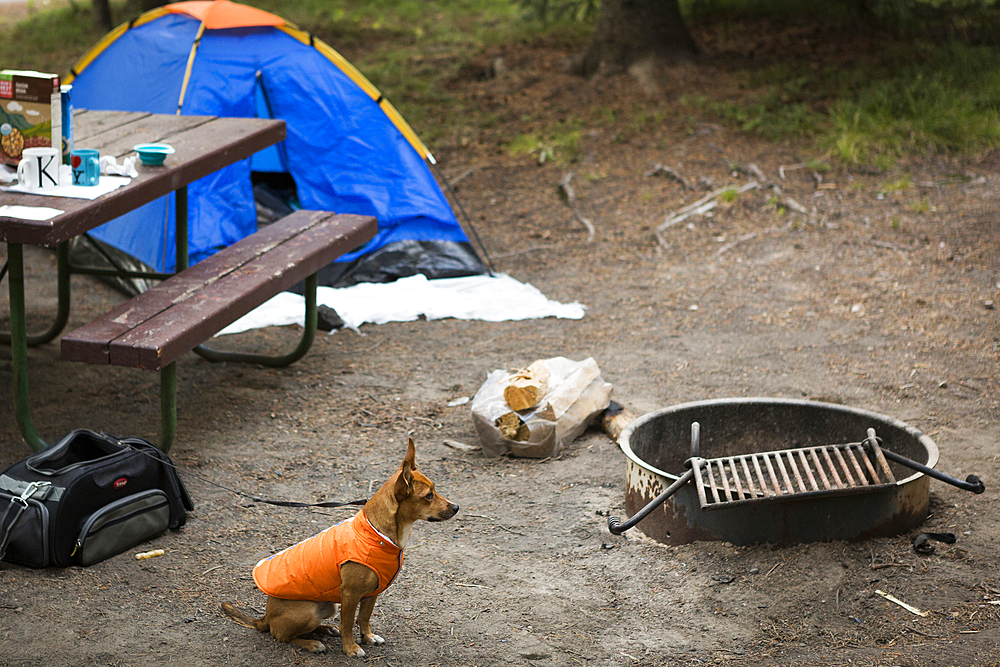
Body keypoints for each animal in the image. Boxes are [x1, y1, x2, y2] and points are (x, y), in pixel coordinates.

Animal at [221, 438, 458, 656]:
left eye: (435, 491)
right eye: (429, 496)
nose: (456, 507)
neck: (376, 533)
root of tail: (265, 617)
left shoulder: (372, 593)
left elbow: (364, 618)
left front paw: (368, 637)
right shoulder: (350, 594)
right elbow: (348, 623)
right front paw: (351, 648)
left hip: (327, 606)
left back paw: (325, 629)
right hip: (309, 611)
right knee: (281, 635)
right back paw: (312, 643)